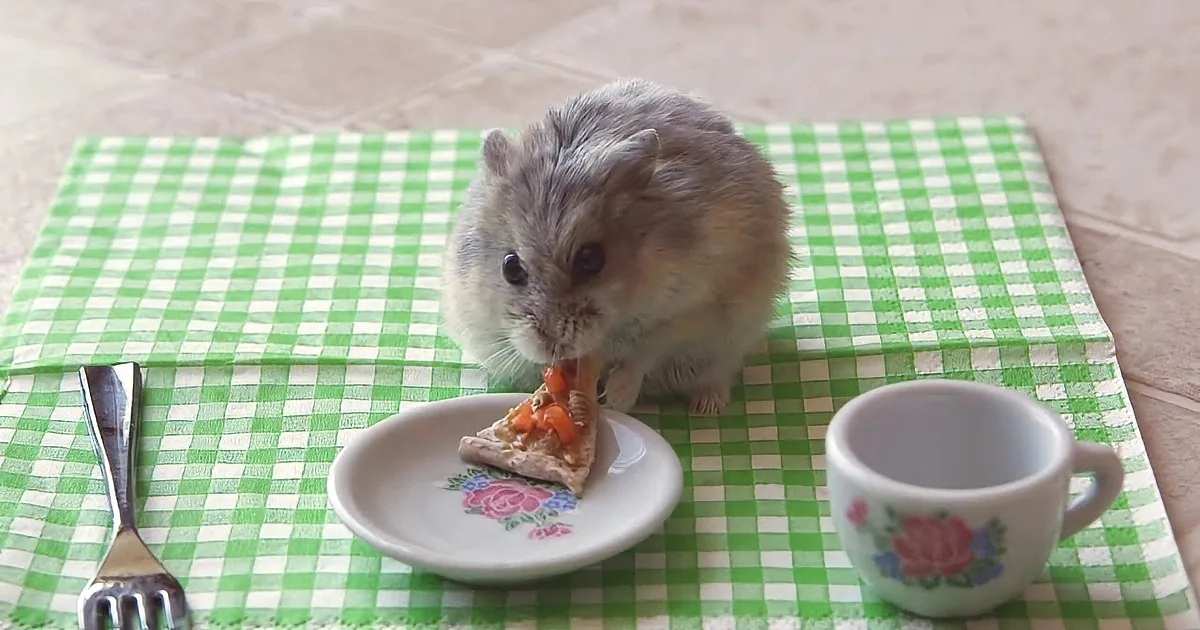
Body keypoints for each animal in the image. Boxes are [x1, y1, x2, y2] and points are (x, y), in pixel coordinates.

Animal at [440, 78, 794, 416]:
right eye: (510, 267)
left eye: (591, 259)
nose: (551, 345)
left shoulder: (700, 305)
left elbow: (648, 347)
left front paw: (617, 399)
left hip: (724, 345)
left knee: (715, 377)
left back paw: (705, 409)